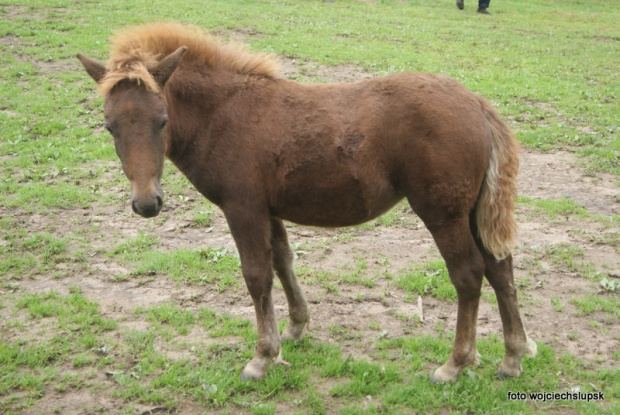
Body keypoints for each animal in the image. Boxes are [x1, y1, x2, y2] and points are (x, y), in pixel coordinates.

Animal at [77, 21, 536, 382]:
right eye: (109, 126)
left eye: (162, 120)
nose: (146, 204)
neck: (225, 113)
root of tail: (477, 104)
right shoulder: (268, 209)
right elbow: (283, 260)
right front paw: (295, 329)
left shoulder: (242, 208)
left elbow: (256, 275)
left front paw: (262, 358)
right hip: (471, 212)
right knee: (500, 268)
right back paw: (513, 357)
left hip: (443, 213)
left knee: (469, 274)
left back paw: (455, 364)